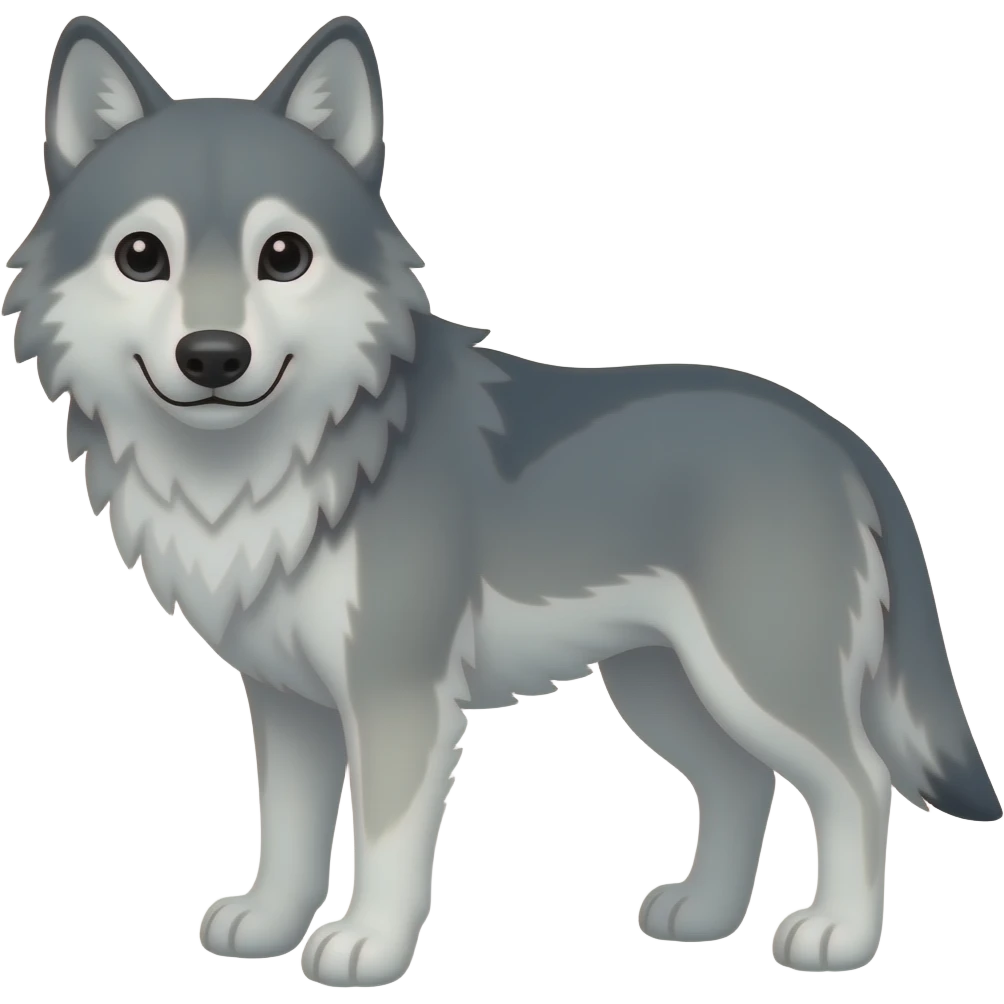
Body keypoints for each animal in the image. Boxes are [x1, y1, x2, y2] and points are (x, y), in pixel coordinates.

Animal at [4, 13, 999, 988]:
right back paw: (705, 917)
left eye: (283, 255)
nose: (214, 356)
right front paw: (269, 926)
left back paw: (839, 936)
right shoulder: (288, 701)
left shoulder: (395, 692)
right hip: (665, 687)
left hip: (757, 680)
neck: (283, 460)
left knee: (858, 784)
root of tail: (835, 434)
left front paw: (367, 946)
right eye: (142, 255)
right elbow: (286, 833)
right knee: (740, 784)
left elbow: (388, 840)